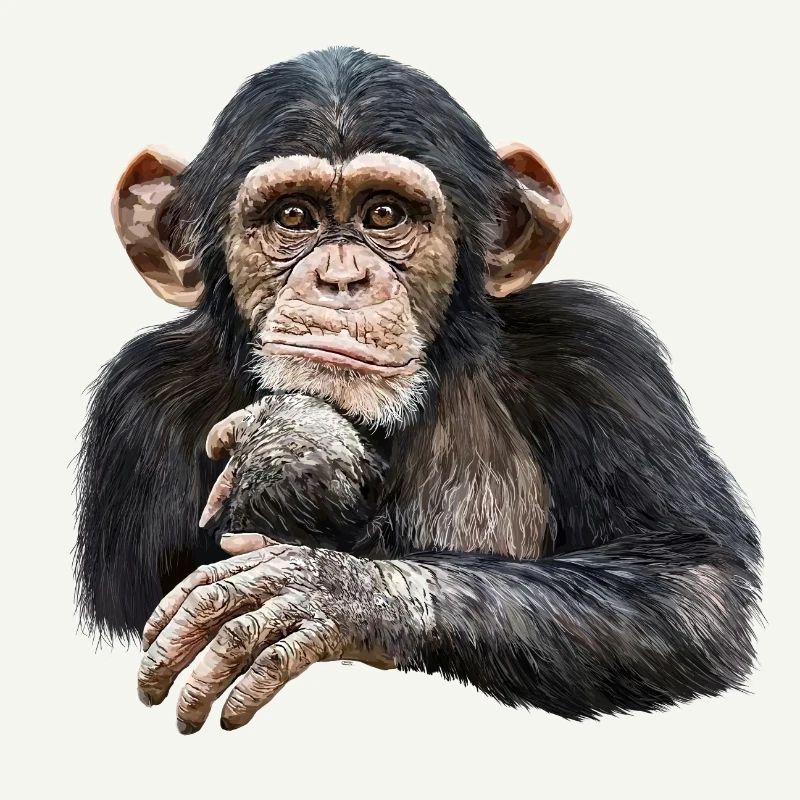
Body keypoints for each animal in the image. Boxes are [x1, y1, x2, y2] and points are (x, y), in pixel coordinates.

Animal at [75, 47, 761, 733]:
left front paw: (319, 533)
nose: (342, 280)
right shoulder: (139, 400)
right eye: (293, 216)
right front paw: (303, 447)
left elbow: (692, 580)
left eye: (385, 214)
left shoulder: (600, 354)